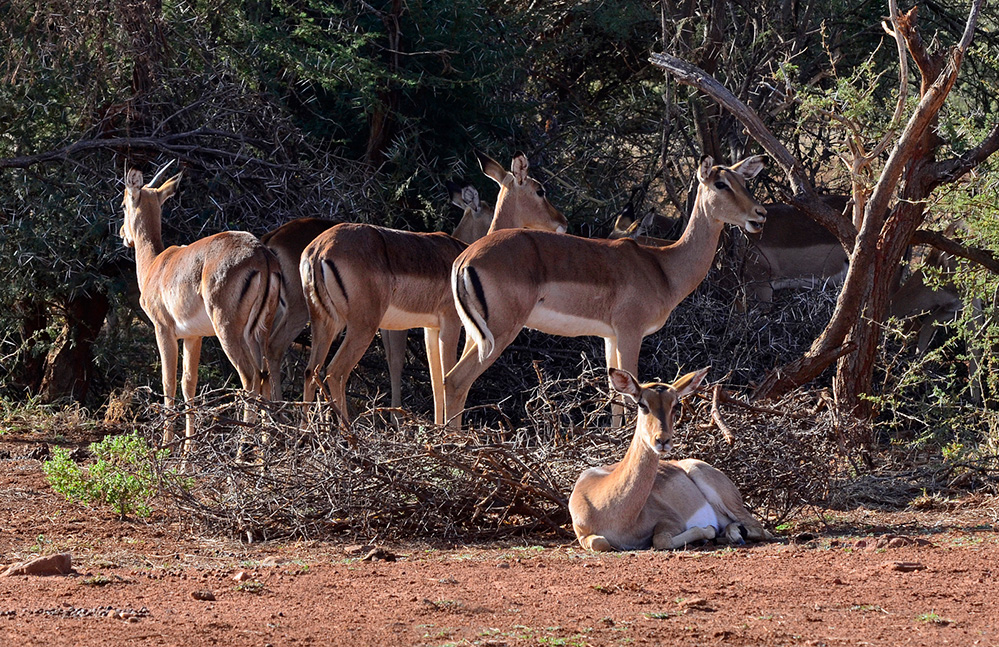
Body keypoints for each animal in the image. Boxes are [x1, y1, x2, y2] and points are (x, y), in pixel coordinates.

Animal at [119, 167, 282, 453]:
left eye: (123, 204)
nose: (122, 234)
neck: (155, 265)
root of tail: (261, 253)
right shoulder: (193, 337)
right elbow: (189, 384)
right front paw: (187, 453)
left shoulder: (163, 330)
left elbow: (168, 382)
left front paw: (168, 447)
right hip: (260, 333)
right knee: (266, 378)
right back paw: (263, 457)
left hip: (228, 332)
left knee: (250, 378)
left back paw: (241, 455)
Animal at [300, 152, 567, 424]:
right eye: (540, 190)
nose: (562, 222)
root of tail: (319, 250)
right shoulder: (450, 322)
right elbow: (447, 377)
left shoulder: (430, 327)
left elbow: (435, 380)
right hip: (361, 326)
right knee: (335, 372)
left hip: (324, 322)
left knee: (311, 371)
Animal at [444, 155, 767, 428]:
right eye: (720, 183)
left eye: (744, 182)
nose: (759, 213)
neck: (663, 267)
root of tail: (464, 258)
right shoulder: (630, 333)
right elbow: (632, 394)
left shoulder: (610, 337)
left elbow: (615, 398)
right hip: (500, 333)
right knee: (456, 380)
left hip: (477, 335)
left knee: (448, 378)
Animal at [569, 367, 769, 551]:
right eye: (642, 404)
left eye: (676, 405)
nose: (662, 440)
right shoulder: (583, 534)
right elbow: (600, 542)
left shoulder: (672, 521)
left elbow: (661, 540)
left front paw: (708, 532)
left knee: (758, 528)